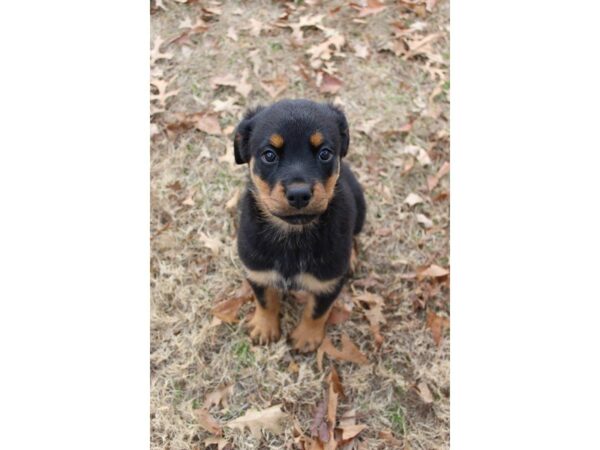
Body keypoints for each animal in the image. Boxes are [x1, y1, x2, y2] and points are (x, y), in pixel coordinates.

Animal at [234, 100, 366, 354]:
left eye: (325, 153)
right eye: (269, 155)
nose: (298, 194)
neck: (292, 234)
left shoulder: (328, 282)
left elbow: (316, 311)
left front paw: (306, 338)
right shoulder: (257, 271)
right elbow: (265, 300)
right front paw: (264, 328)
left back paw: (352, 258)